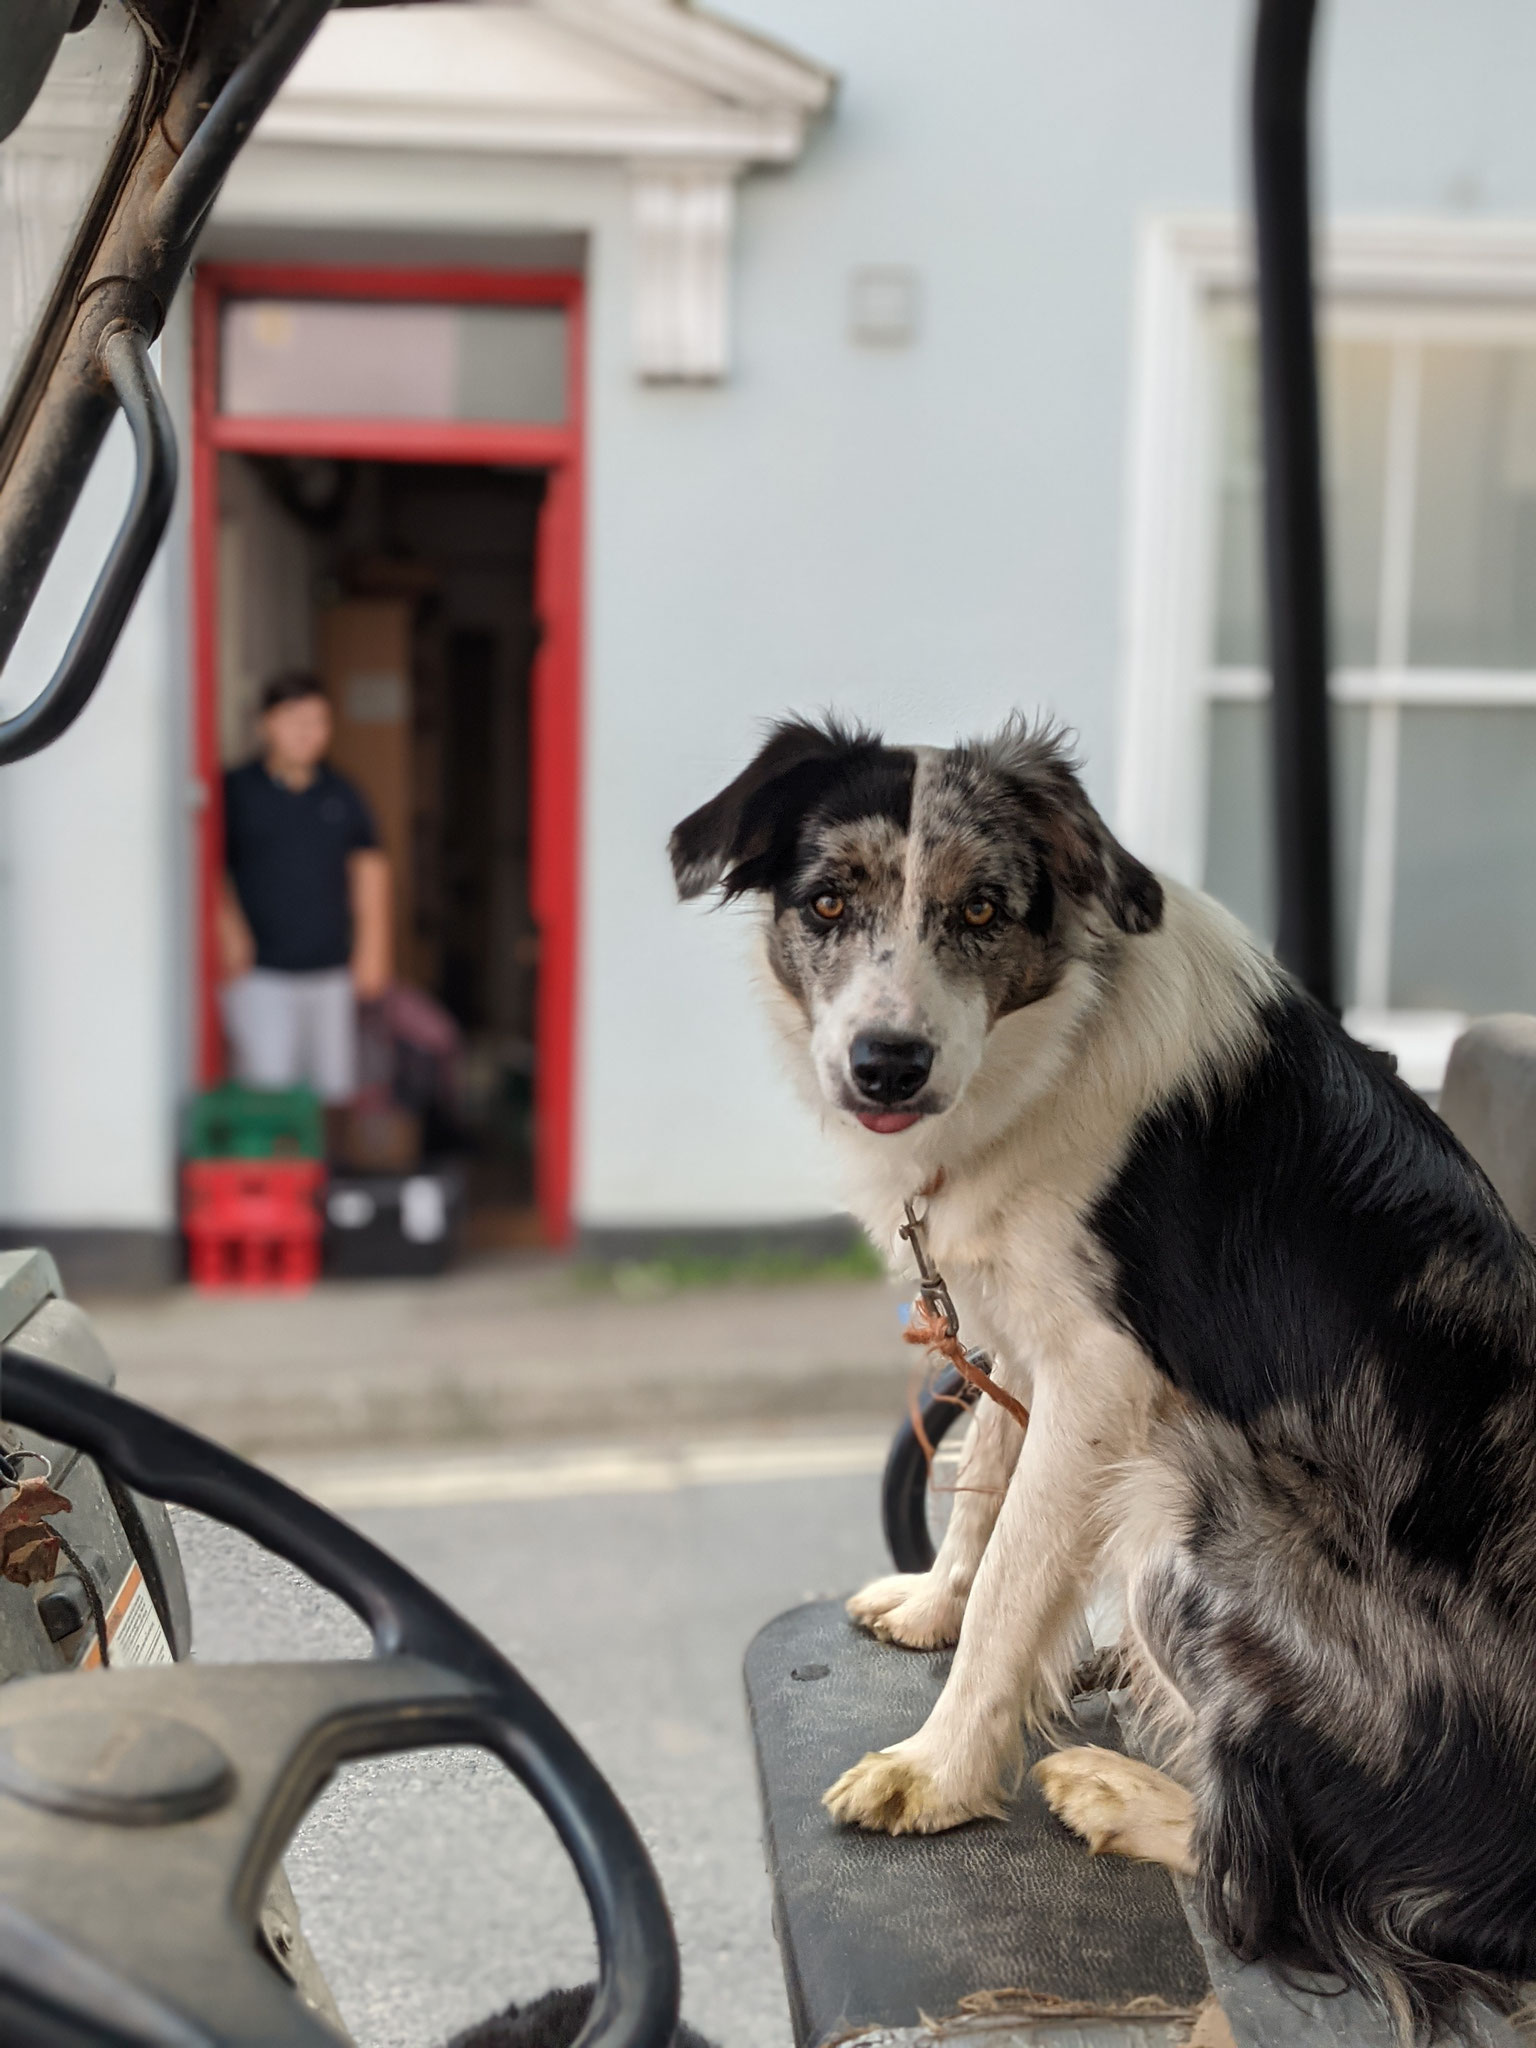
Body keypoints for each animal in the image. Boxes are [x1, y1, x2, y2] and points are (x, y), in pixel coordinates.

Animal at [671, 716, 1536, 2031]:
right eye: (827, 900)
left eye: (982, 908)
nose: (887, 1064)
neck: (1042, 1047)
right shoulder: (1016, 1337)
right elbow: (983, 1494)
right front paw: (933, 1604)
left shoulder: (1103, 1381)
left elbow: (1018, 1573)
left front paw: (935, 1770)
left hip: (1189, 1515)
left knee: (1285, 1893)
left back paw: (1118, 1789)